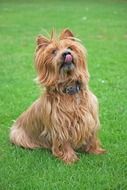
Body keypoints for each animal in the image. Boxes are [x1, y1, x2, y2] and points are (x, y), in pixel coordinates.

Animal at [9, 29, 105, 163]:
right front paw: (70, 159)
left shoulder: (90, 118)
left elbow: (92, 137)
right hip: (18, 135)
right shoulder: (60, 125)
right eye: (53, 52)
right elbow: (64, 142)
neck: (69, 88)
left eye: (70, 48)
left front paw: (96, 151)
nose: (66, 53)